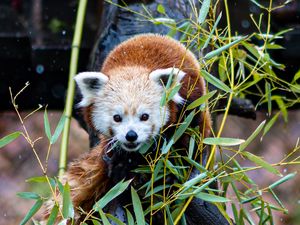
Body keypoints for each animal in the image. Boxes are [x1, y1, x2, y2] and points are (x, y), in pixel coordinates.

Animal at [41, 33, 211, 225]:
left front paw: (172, 171)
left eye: (144, 116)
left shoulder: (189, 106)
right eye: (117, 117)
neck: (134, 66)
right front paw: (122, 168)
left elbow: (187, 142)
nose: (131, 135)